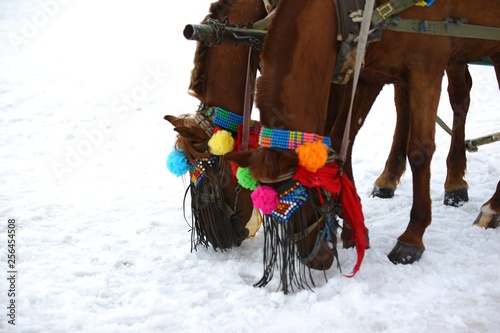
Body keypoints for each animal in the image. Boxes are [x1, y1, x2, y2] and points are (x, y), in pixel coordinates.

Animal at [237, 0, 500, 264]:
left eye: (302, 194)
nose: (316, 259)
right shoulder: (368, 71)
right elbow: (341, 141)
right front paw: (355, 230)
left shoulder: (426, 65)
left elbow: (420, 151)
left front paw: (412, 236)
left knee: (459, 96)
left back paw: (486, 204)